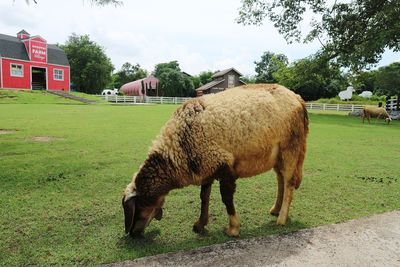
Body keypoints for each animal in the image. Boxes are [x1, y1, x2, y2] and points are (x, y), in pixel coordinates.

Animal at [122, 84, 310, 239]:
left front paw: (233, 228)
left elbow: (226, 198)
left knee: (289, 182)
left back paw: (281, 218)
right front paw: (200, 224)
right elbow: (204, 197)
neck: (179, 148)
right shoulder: (207, 165)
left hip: (291, 146)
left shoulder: (224, 165)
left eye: (137, 206)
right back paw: (275, 210)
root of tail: (297, 98)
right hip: (278, 154)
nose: (133, 234)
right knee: (281, 179)